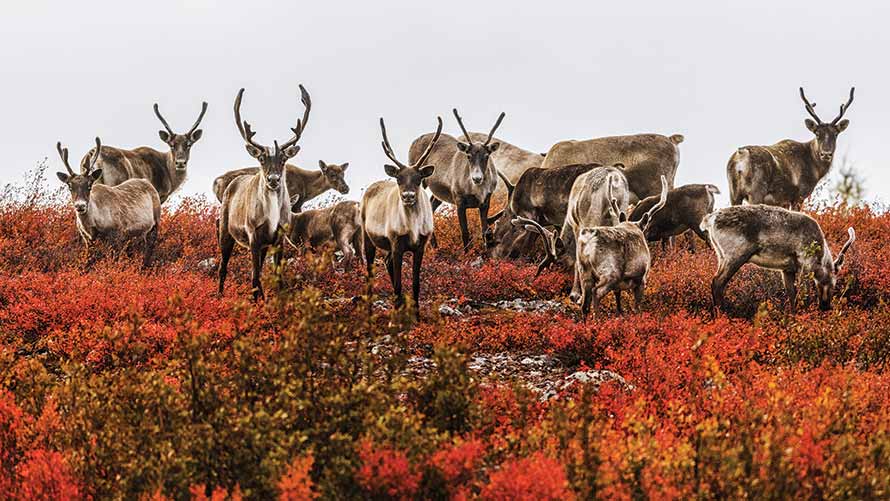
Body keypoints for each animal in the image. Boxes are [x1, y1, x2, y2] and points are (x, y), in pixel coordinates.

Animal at [55, 139, 160, 268]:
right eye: (70, 186)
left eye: (89, 185)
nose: (80, 206)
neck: (92, 225)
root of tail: (149, 183)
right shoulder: (87, 239)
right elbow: (88, 262)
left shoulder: (117, 234)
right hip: (136, 234)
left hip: (155, 224)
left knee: (149, 250)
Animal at [362, 116, 442, 316]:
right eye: (399, 179)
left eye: (419, 179)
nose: (408, 196)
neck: (412, 228)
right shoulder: (397, 243)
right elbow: (398, 284)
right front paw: (396, 314)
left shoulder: (420, 246)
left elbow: (415, 284)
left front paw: (417, 314)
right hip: (367, 236)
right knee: (370, 271)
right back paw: (369, 311)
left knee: (387, 261)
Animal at [700, 205, 852, 310]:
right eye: (834, 283)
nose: (826, 307)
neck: (820, 258)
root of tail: (709, 220)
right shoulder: (805, 265)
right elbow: (803, 293)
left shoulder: (787, 270)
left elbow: (792, 295)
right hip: (735, 255)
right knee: (717, 282)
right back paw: (723, 313)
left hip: (721, 255)